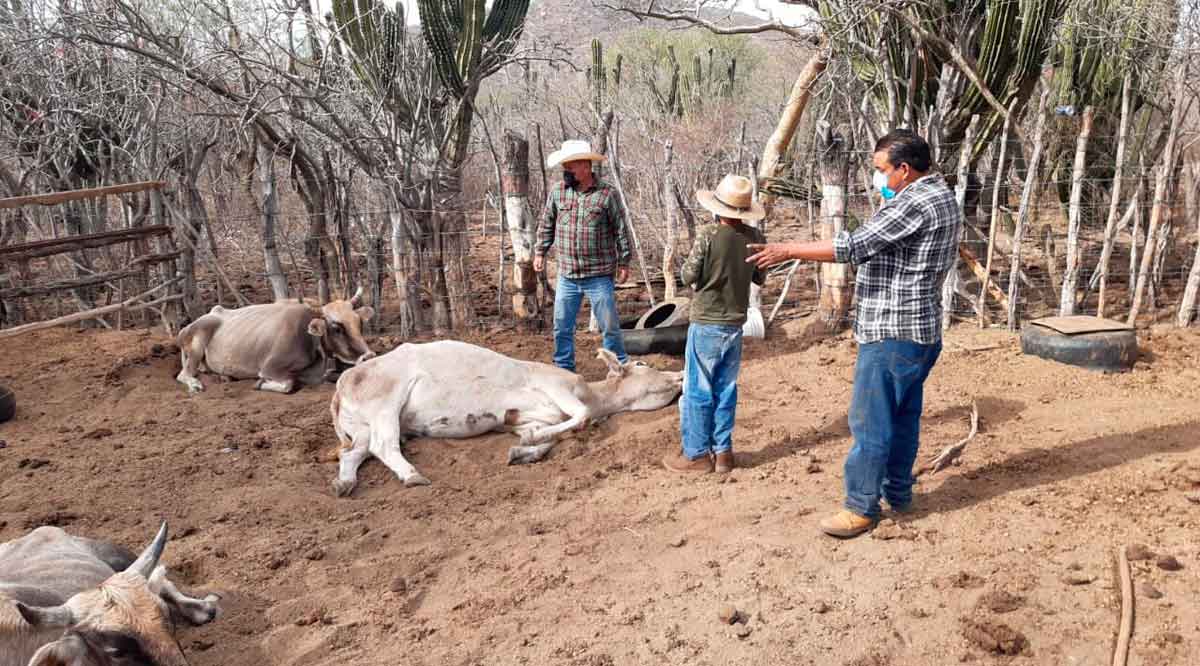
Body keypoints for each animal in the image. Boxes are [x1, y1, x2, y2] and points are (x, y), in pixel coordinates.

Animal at [175, 288, 374, 393]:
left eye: (359, 323)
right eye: (336, 328)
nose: (369, 356)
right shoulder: (270, 367)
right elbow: (288, 384)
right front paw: (260, 383)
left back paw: (224, 377)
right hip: (196, 345)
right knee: (183, 374)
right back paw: (196, 384)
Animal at [328, 340, 686, 492]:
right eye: (641, 363)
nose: (681, 374)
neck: (593, 392)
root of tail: (342, 383)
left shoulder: (532, 417)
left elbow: (544, 437)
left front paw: (521, 449)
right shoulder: (557, 386)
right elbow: (582, 416)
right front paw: (527, 444)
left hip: (360, 426)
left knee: (353, 452)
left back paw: (344, 483)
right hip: (385, 405)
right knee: (383, 445)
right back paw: (412, 475)